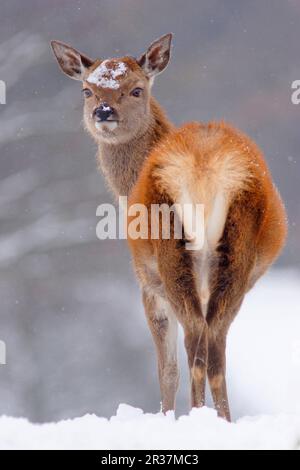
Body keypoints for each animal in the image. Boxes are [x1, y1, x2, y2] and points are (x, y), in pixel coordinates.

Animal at [51, 34, 288, 422]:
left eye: (136, 89)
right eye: (88, 90)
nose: (104, 112)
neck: (124, 191)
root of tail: (204, 167)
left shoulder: (148, 284)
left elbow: (167, 369)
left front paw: (165, 416)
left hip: (169, 252)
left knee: (195, 346)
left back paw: (197, 417)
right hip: (235, 255)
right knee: (215, 347)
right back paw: (222, 420)